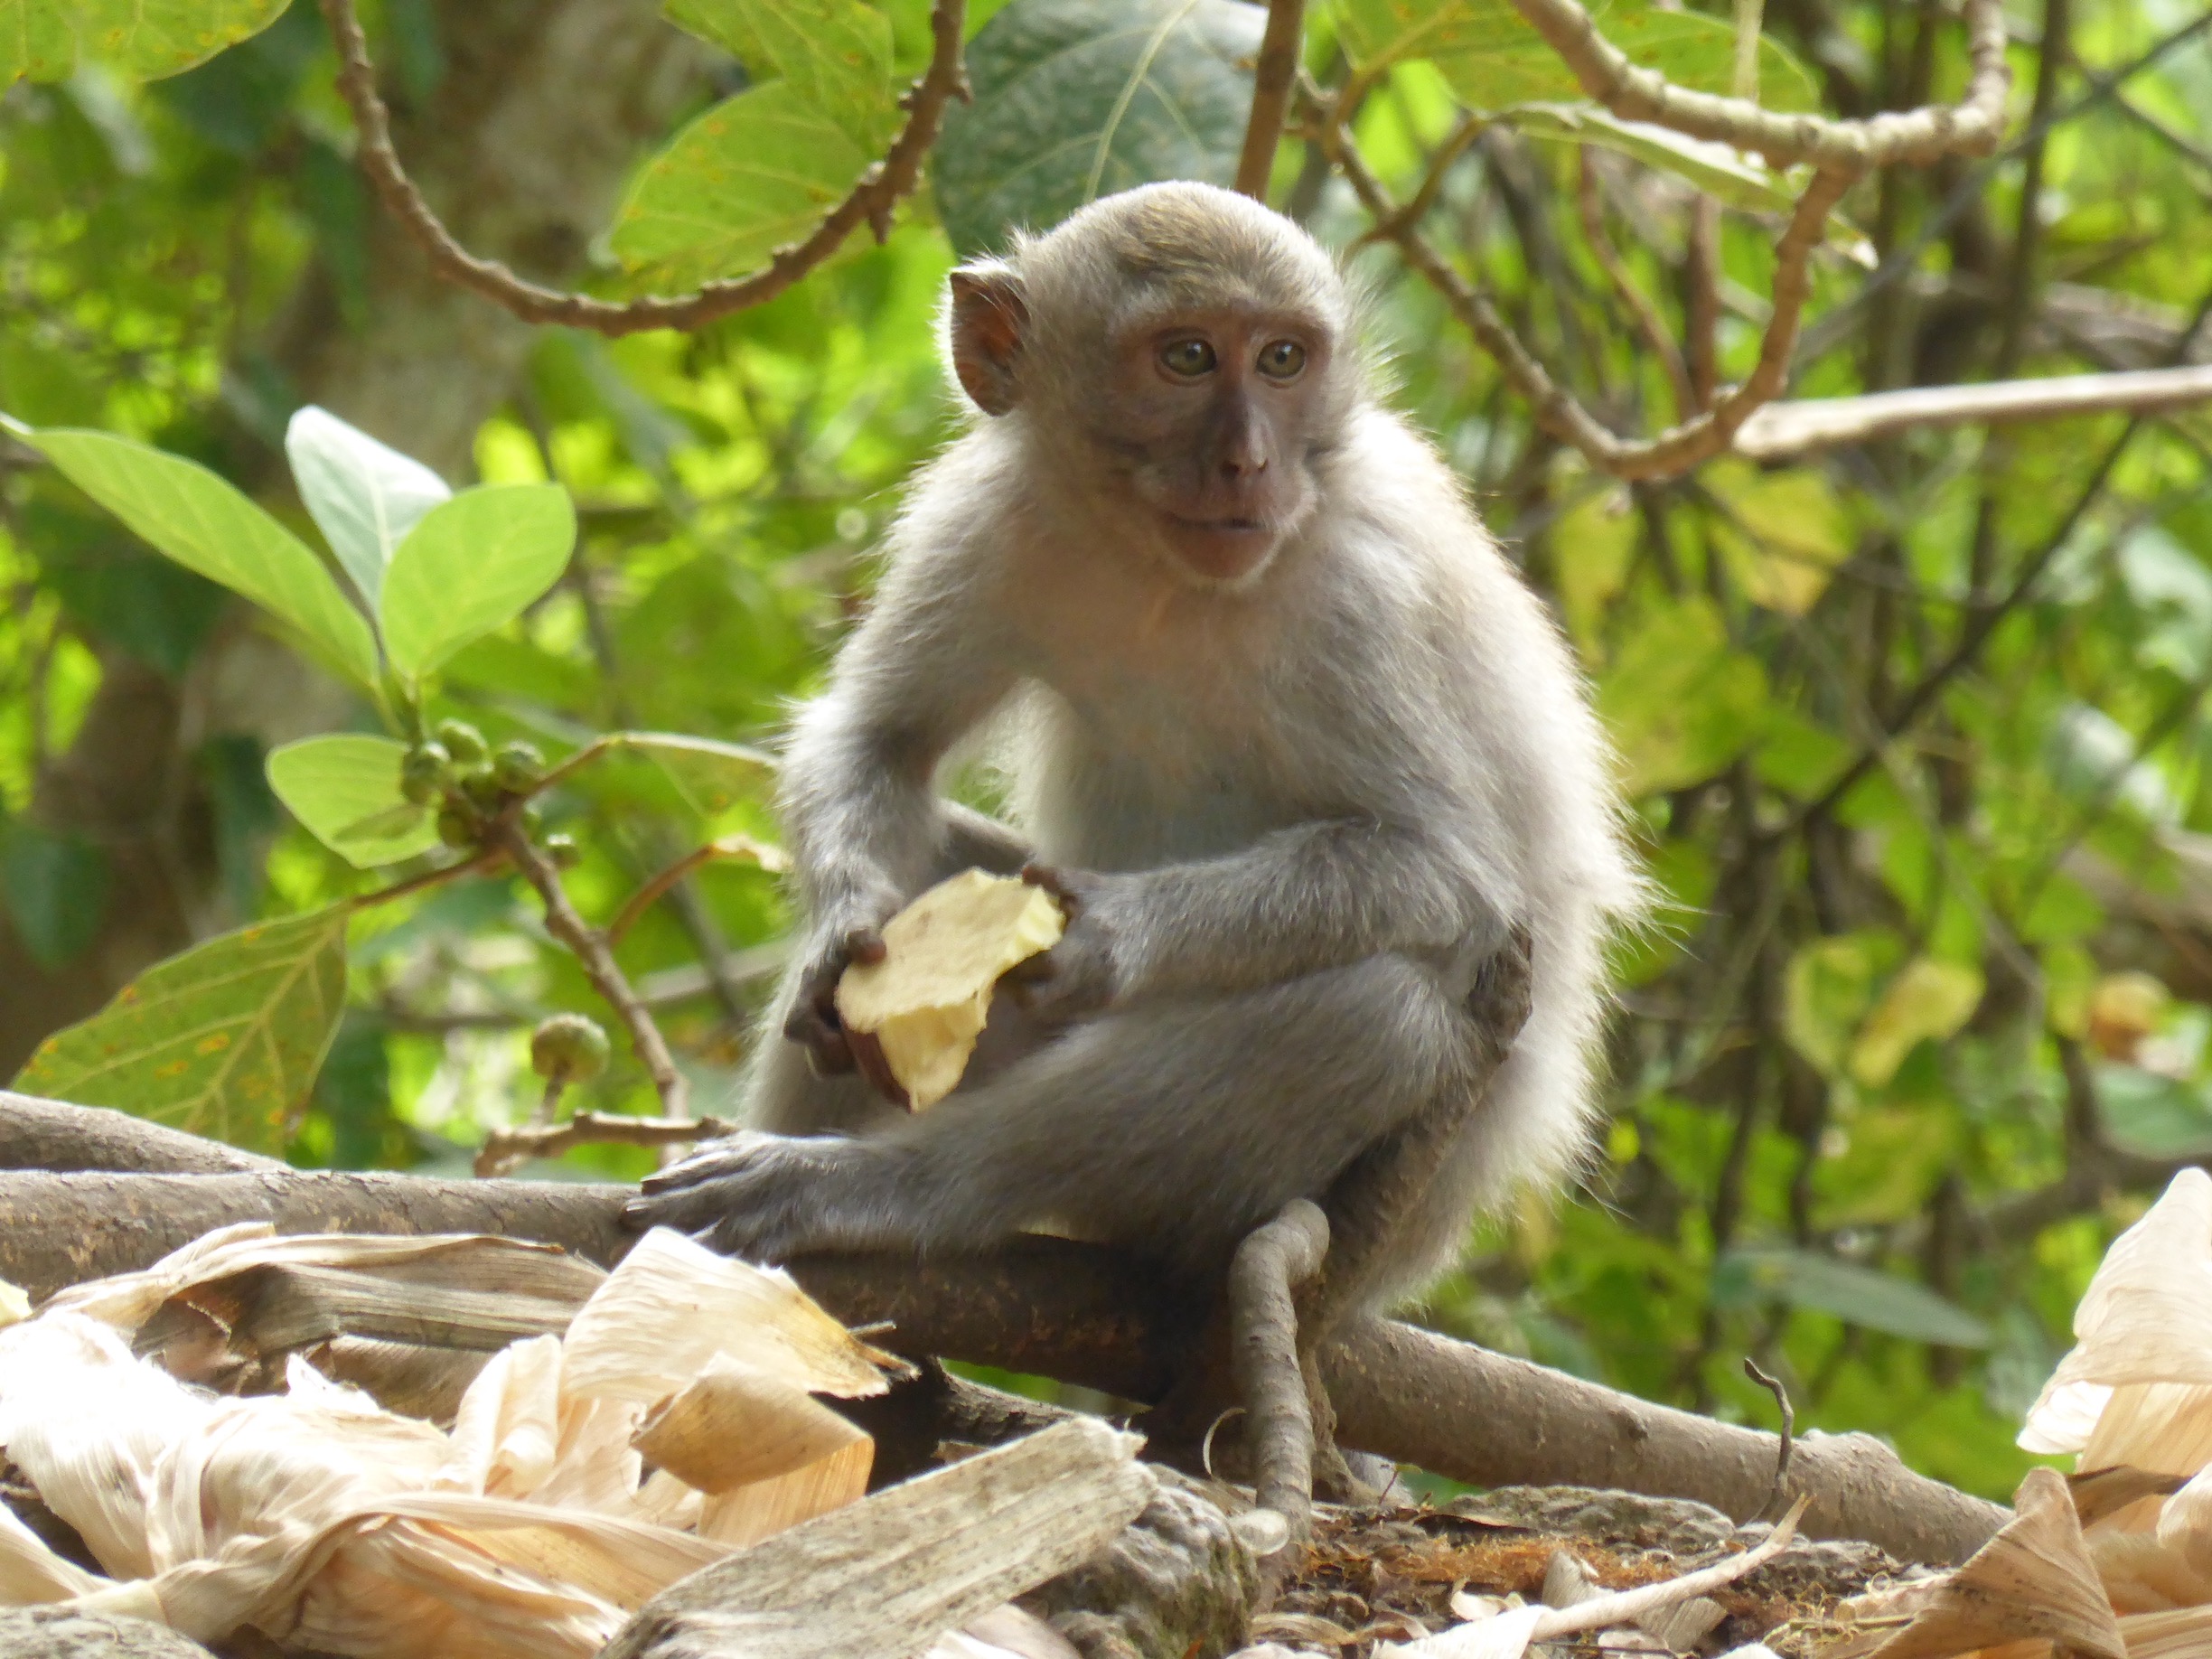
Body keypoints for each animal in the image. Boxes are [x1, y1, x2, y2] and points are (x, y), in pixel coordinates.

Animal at [625, 180, 1642, 1311]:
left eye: (1282, 359)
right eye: (1187, 357)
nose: (1249, 461)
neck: (1160, 567)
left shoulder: (1359, 603)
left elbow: (1451, 869)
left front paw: (1114, 936)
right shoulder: (981, 518)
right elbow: (880, 738)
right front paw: (843, 935)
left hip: (1388, 1197)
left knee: (1380, 1017)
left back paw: (887, 1189)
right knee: (937, 859)